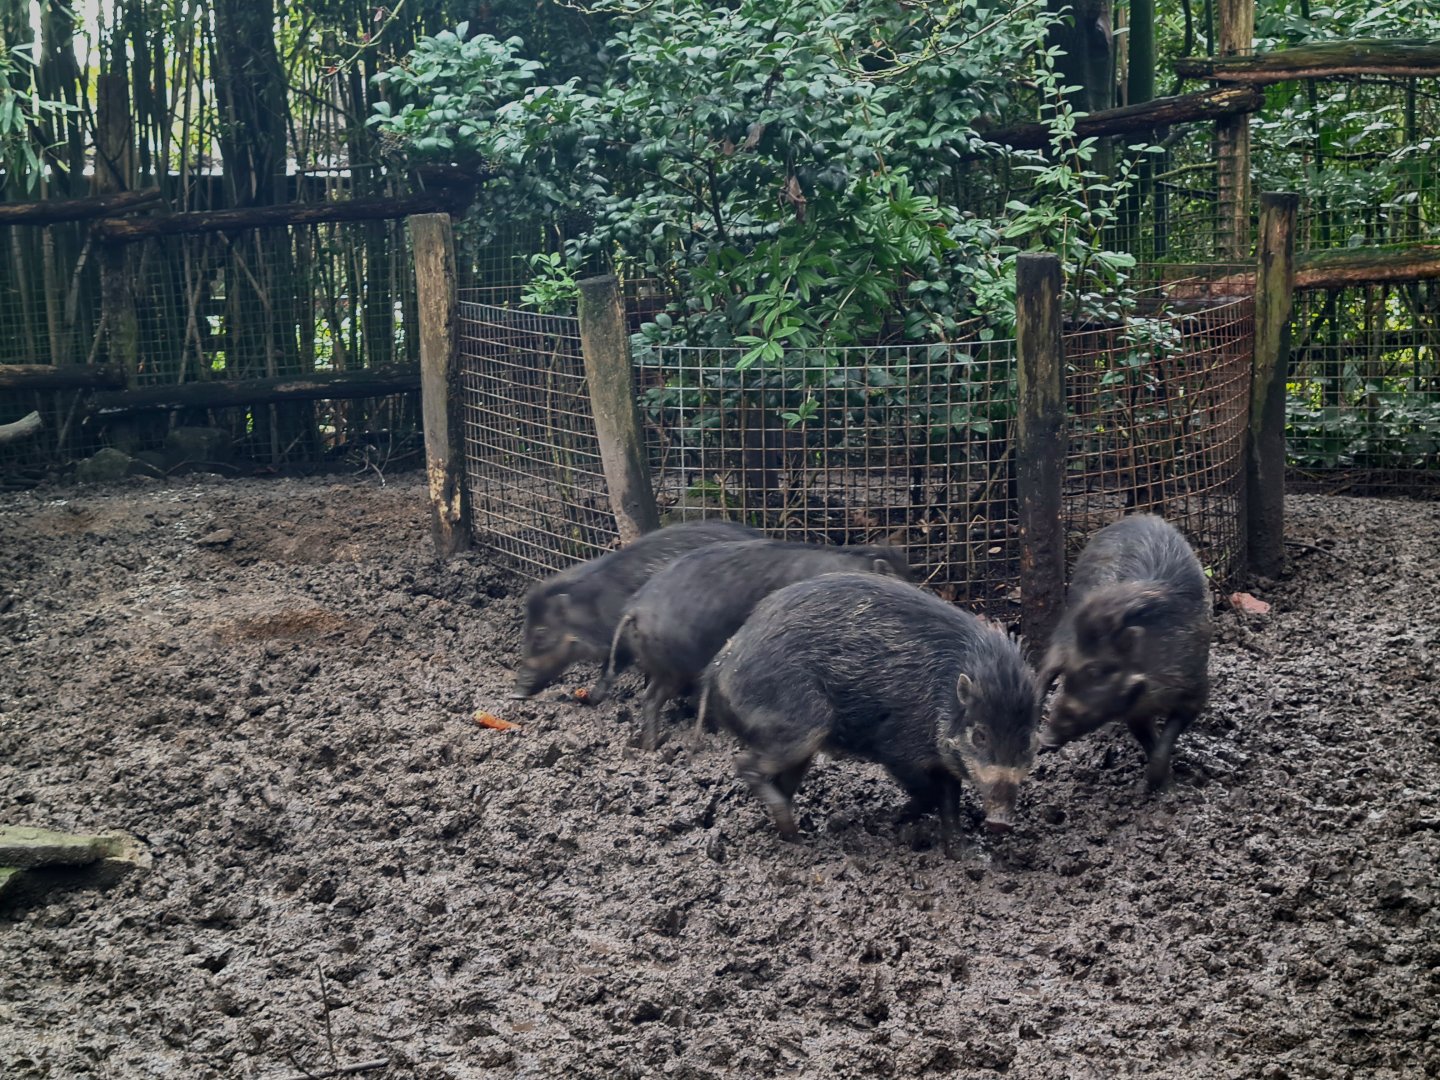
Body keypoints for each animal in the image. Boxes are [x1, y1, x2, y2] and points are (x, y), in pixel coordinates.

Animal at [512, 519, 760, 698]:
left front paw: (593, 698)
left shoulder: (620, 640)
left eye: (540, 634)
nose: (516, 693)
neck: (592, 609)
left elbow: (610, 669)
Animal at [704, 572, 1040, 852]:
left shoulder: (945, 758)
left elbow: (949, 801)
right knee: (744, 764)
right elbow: (929, 792)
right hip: (801, 725)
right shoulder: (899, 748)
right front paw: (894, 817)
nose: (999, 824)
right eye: (980, 735)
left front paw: (963, 853)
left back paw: (795, 835)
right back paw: (793, 832)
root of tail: (720, 667)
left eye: (1027, 741)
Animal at [1038, 514, 1212, 791]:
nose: (1046, 739)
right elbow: (1147, 738)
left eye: (1097, 670)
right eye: (1071, 673)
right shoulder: (1135, 710)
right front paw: (1154, 785)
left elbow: (1165, 740)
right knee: (1044, 671)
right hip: (1064, 631)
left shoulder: (1195, 690)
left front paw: (1160, 785)